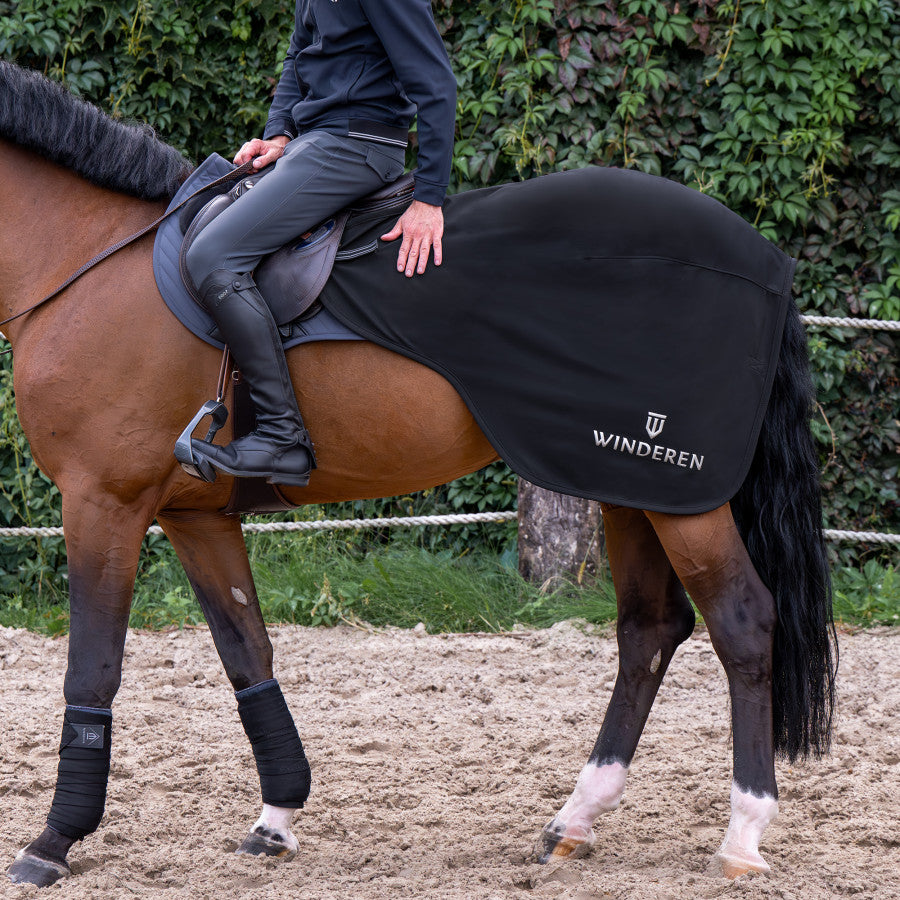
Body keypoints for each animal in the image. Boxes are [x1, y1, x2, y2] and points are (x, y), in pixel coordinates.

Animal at [0, 61, 835, 887]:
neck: (92, 262)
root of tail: (765, 262)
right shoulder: (194, 515)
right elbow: (248, 654)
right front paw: (277, 817)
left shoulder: (103, 502)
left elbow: (92, 671)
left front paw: (53, 841)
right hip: (631, 489)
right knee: (649, 629)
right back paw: (576, 819)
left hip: (682, 496)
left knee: (741, 621)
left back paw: (743, 832)